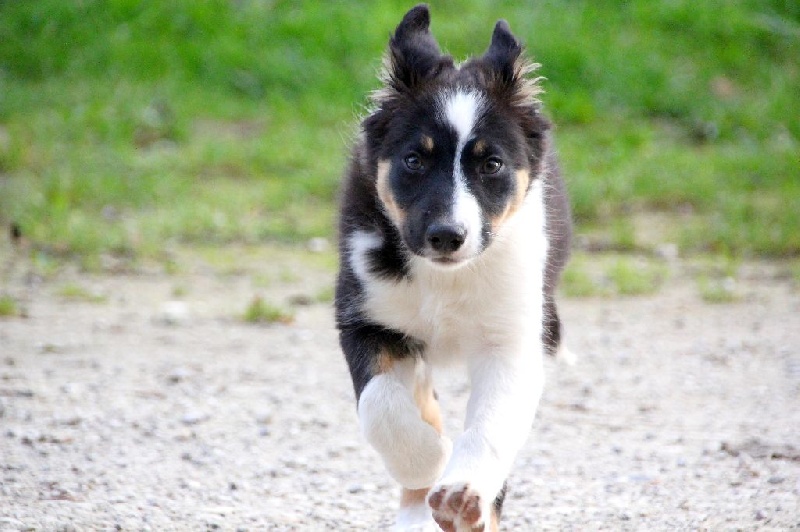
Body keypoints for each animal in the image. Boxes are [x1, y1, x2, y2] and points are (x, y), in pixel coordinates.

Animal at [334, 5, 572, 532]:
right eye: (413, 160)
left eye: (492, 164)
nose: (446, 236)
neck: (445, 277)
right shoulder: (365, 318)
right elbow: (379, 404)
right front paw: (425, 458)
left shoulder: (516, 338)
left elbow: (493, 422)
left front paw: (464, 492)